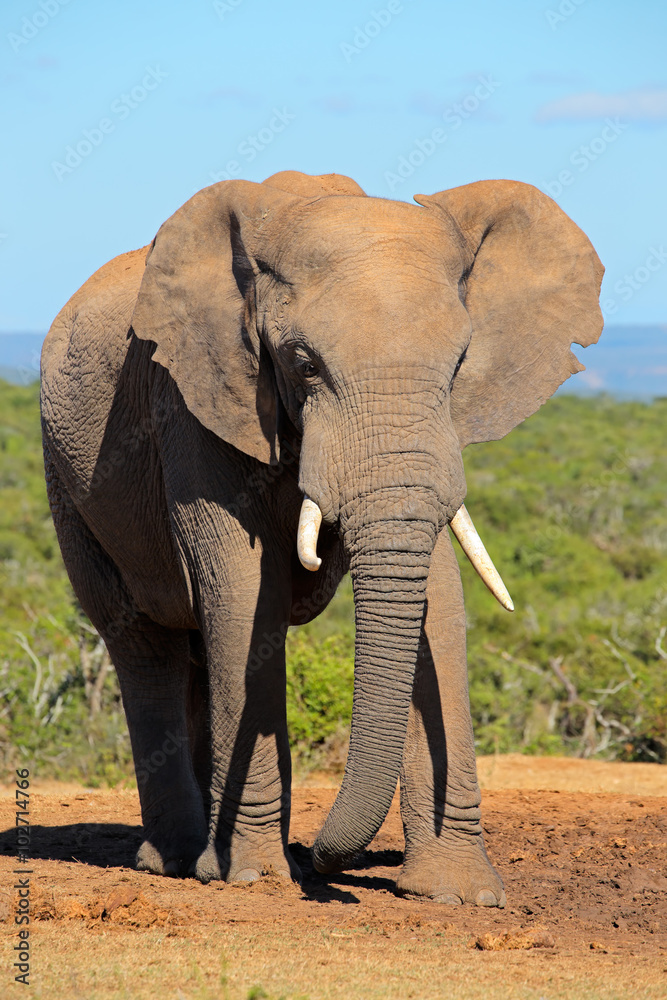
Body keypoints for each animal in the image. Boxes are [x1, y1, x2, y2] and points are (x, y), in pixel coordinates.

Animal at [40, 169, 603, 906]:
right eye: (304, 364)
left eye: (458, 364)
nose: (322, 861)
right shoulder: (190, 398)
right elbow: (240, 588)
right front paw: (254, 877)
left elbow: (439, 592)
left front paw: (461, 894)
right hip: (66, 481)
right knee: (143, 644)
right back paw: (181, 860)